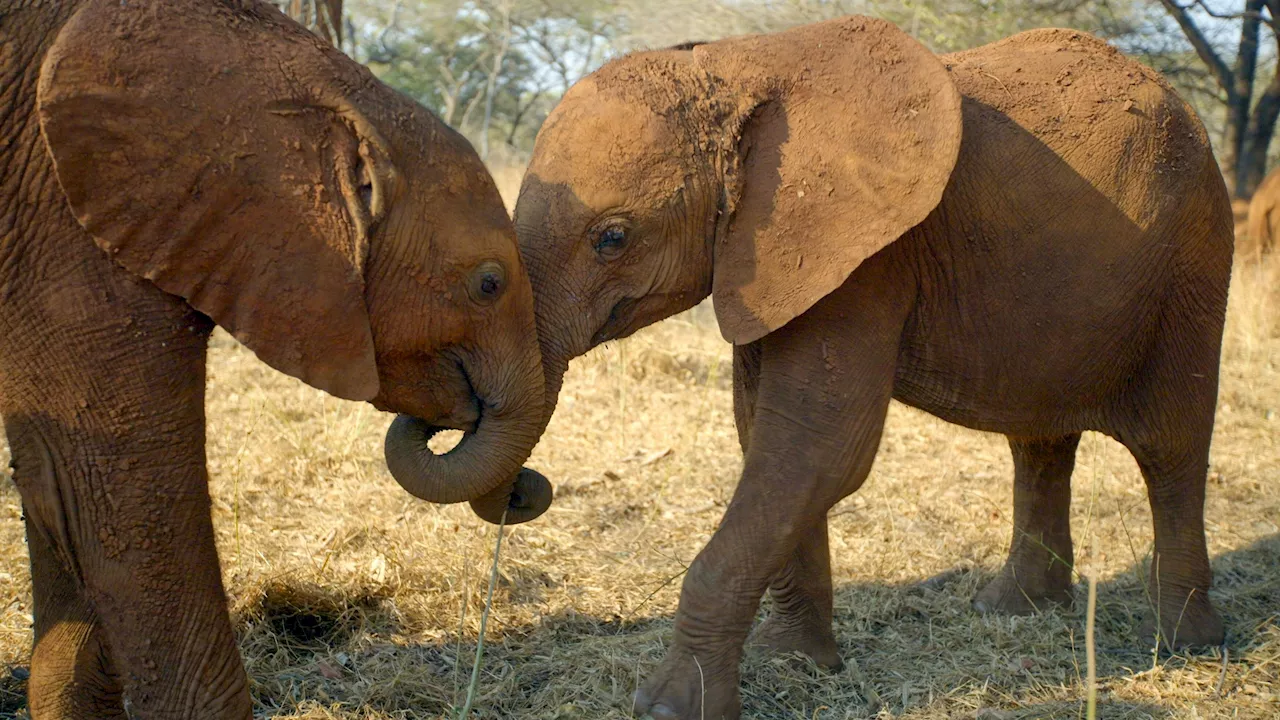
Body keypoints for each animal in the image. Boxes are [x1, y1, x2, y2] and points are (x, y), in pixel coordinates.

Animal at [512, 16, 1239, 717]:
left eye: (612, 238)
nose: (528, 488)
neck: (738, 63)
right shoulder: (772, 258)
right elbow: (767, 441)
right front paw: (795, 662)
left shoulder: (868, 258)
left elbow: (820, 448)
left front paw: (670, 707)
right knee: (1039, 444)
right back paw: (1013, 608)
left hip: (1192, 265)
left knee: (1170, 448)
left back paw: (1184, 644)